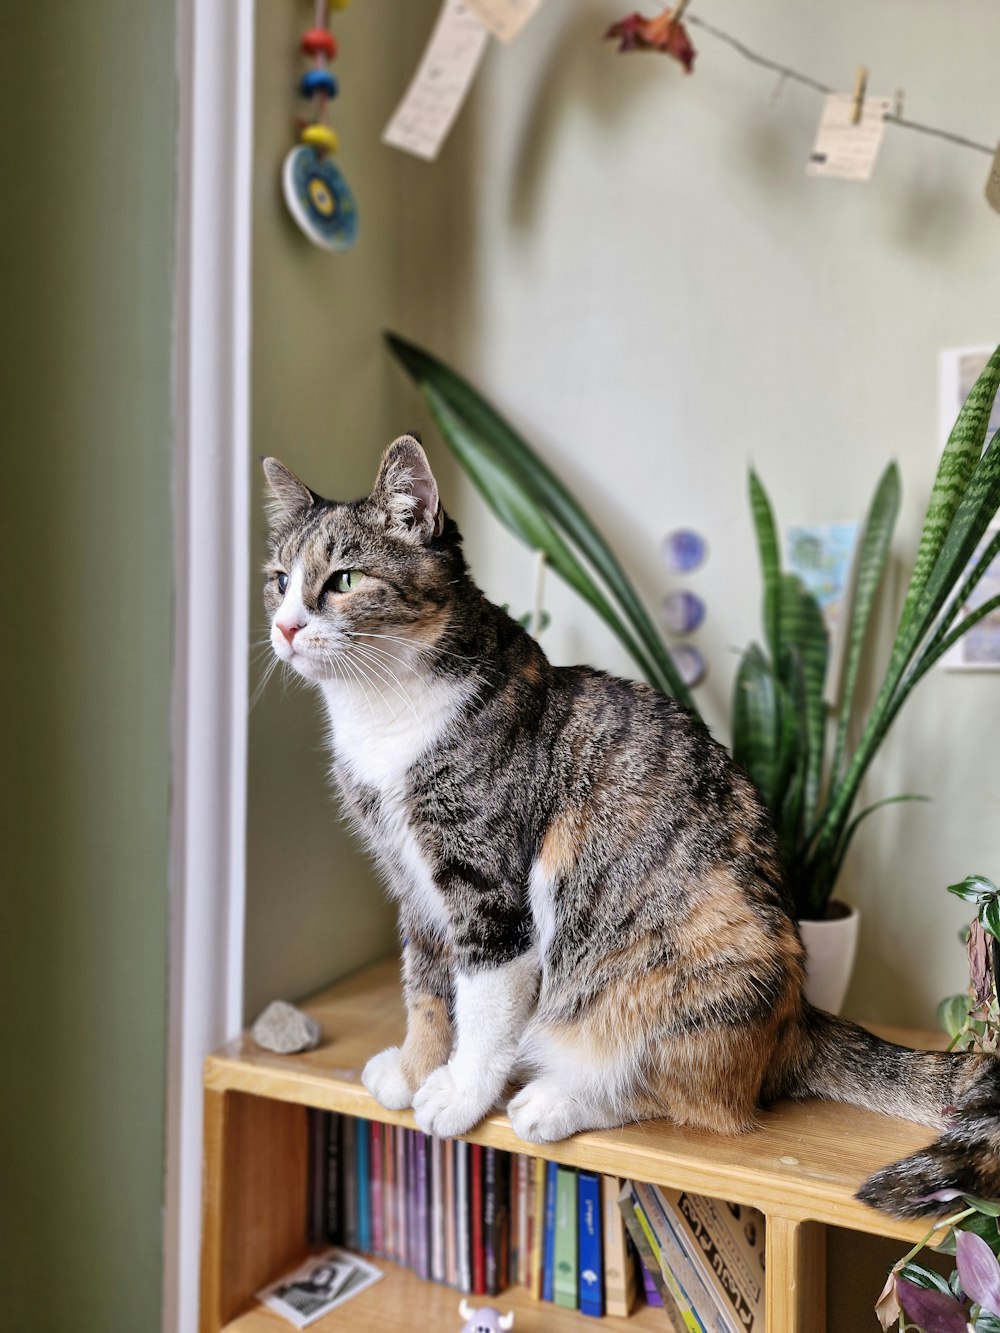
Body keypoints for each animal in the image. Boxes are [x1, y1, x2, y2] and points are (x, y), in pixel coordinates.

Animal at [262, 431, 1000, 1215]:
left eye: (343, 580)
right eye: (278, 579)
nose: (284, 626)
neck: (382, 718)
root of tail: (800, 1016)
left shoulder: (486, 885)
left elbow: (482, 1003)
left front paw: (458, 1093)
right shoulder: (415, 883)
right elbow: (426, 990)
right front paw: (412, 1069)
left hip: (692, 966)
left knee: (694, 1096)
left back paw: (555, 1100)